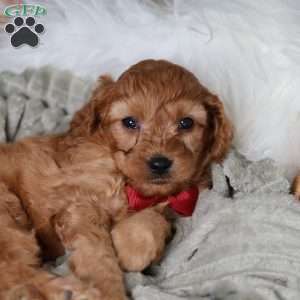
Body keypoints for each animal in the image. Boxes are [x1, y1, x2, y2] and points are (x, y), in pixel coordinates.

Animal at [0, 59, 233, 298]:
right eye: (129, 122)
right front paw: (109, 291)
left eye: (186, 123)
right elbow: (99, 259)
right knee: (19, 277)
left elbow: (152, 219)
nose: (160, 163)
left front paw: (131, 246)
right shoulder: (81, 208)